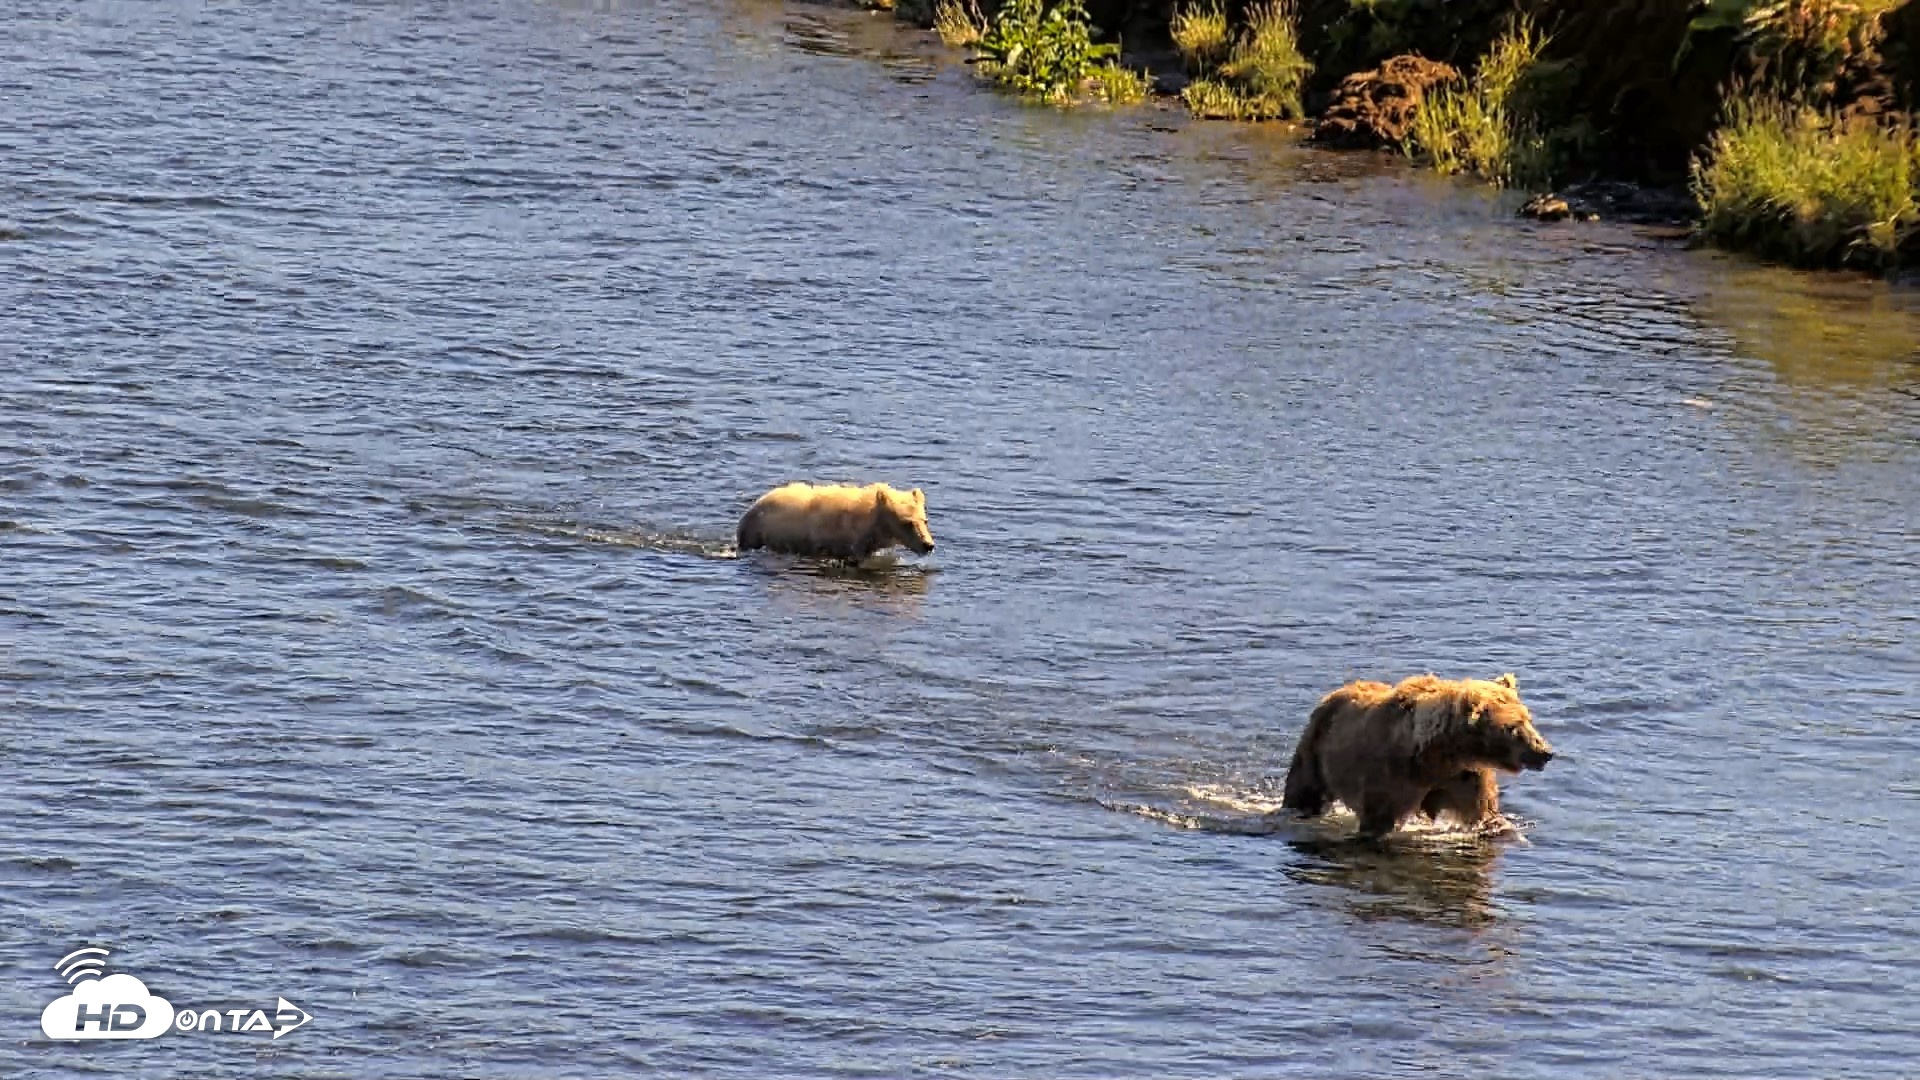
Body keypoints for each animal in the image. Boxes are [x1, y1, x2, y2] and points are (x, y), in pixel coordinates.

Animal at [1280, 672, 1553, 839]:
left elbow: (1485, 815)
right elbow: (1378, 820)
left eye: (1528, 719)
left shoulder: (1465, 776)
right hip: (1316, 748)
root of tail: (1335, 692)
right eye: (1513, 727)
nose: (1545, 752)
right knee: (1304, 790)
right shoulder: (1392, 777)